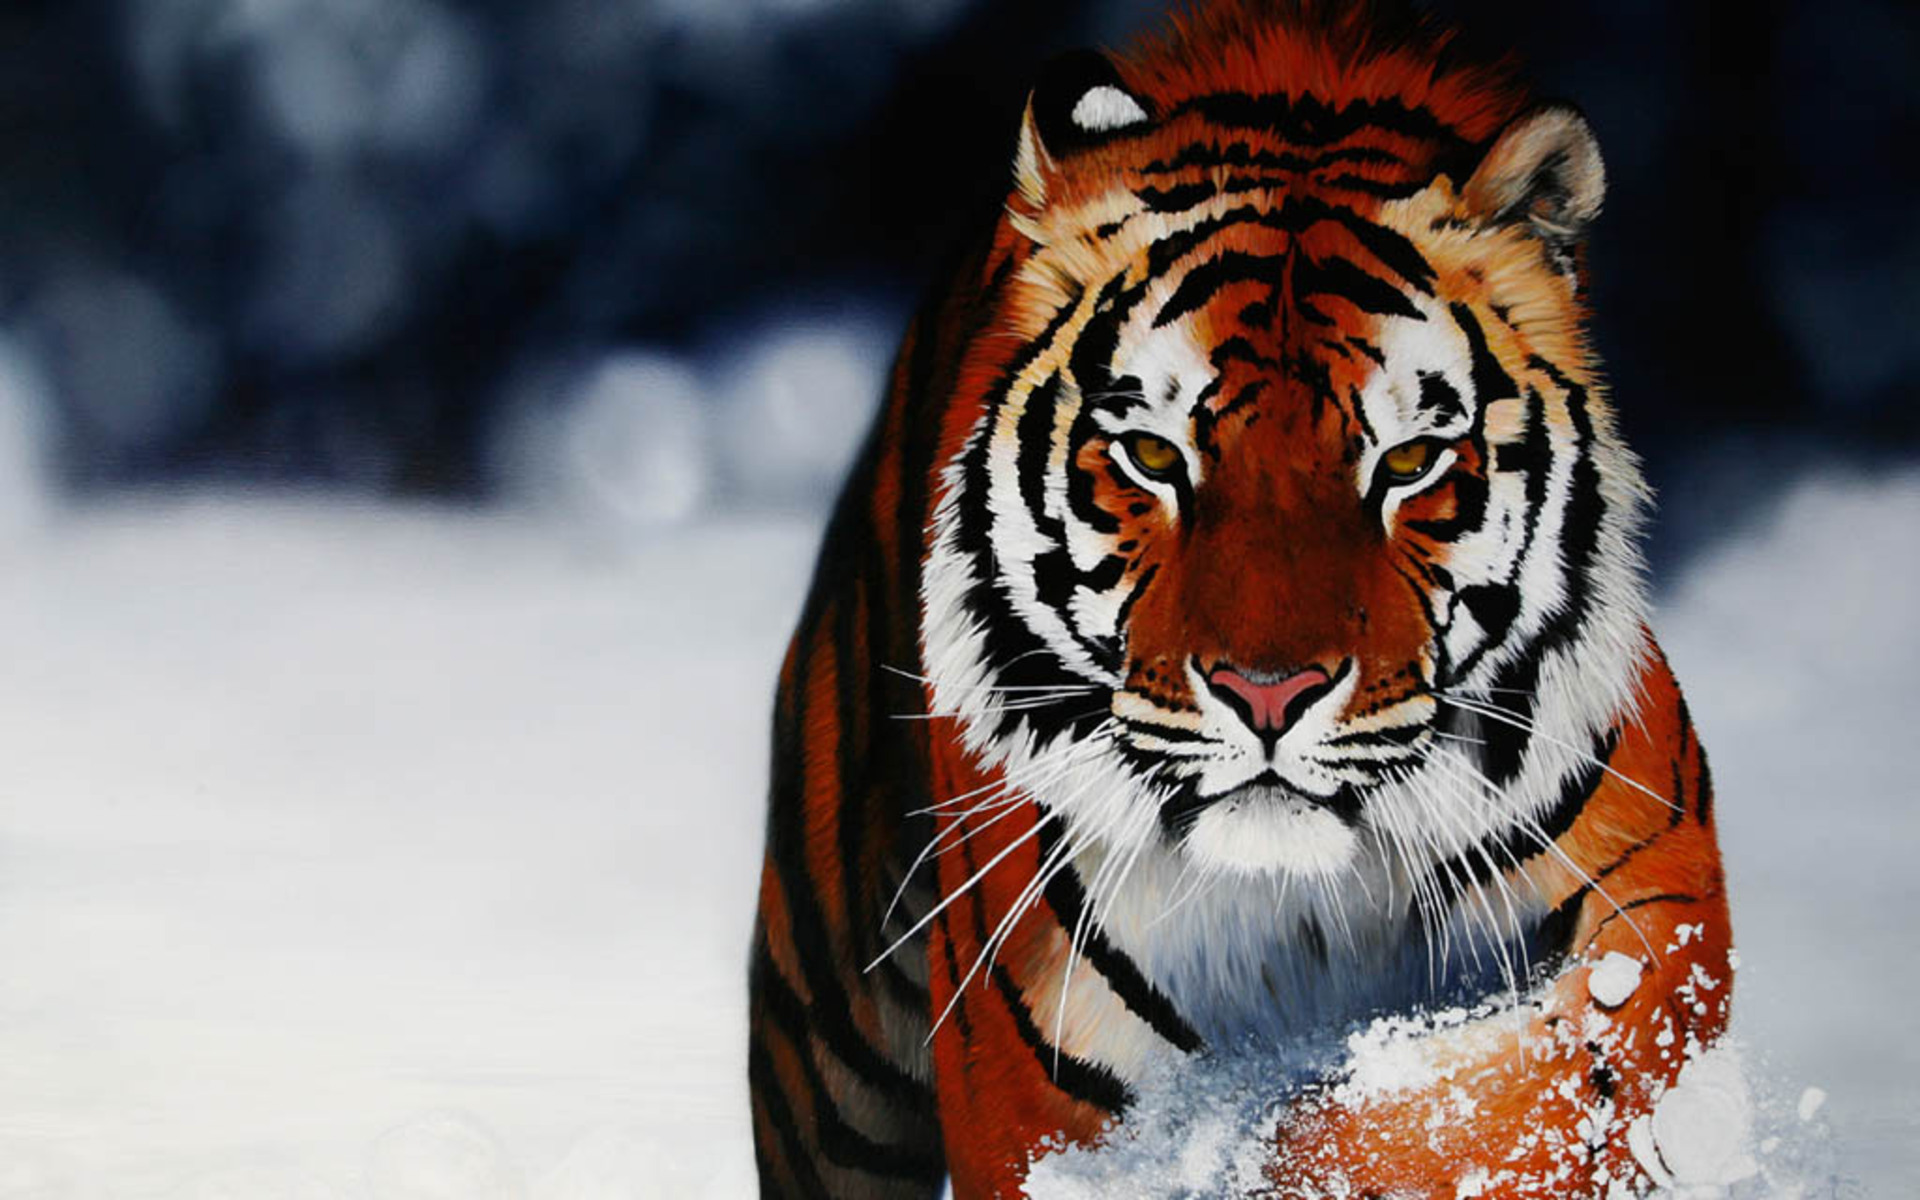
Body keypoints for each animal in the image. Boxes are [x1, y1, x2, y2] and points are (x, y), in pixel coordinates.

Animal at [747, 2, 1733, 1196]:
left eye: (1409, 462)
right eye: (1151, 455)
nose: (1267, 696)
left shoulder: (1661, 899)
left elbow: (1490, 1092)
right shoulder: (1032, 1081)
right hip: (826, 1042)